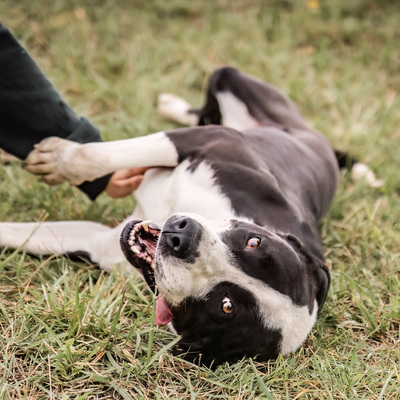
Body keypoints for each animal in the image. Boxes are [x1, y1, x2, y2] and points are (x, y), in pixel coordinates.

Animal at [0, 67, 380, 368]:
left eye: (226, 306)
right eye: (253, 241)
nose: (180, 237)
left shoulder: (101, 244)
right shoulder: (212, 140)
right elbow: (103, 155)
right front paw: (57, 158)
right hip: (229, 82)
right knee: (205, 111)